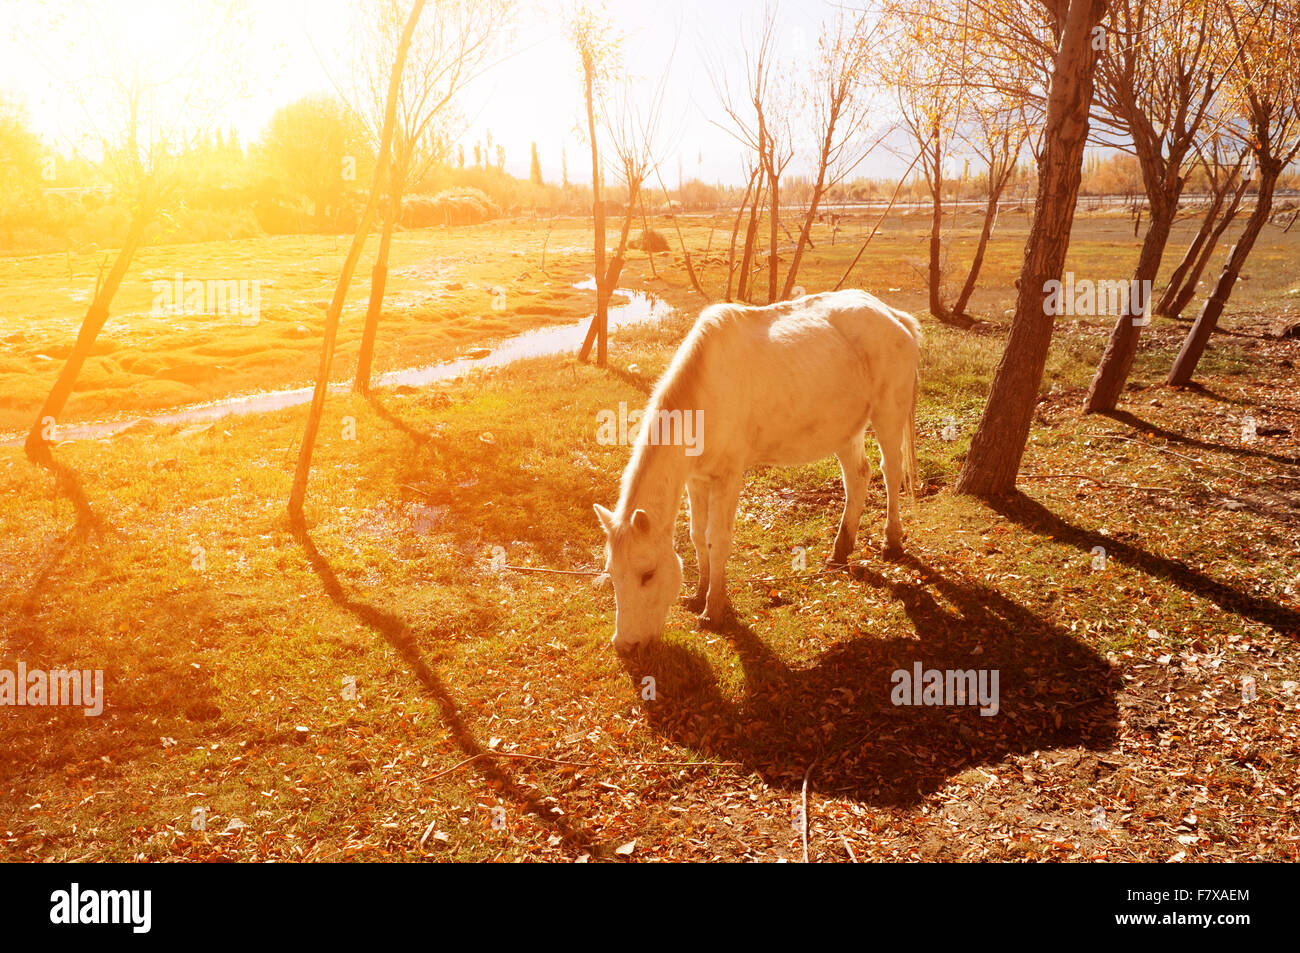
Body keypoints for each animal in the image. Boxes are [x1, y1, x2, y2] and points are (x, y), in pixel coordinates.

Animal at [594, 288, 923, 654]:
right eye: (612, 574)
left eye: (647, 574)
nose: (626, 645)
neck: (705, 394)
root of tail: (893, 314)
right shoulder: (696, 478)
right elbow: (697, 535)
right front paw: (699, 594)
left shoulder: (729, 476)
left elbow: (718, 539)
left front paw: (714, 610)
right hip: (844, 430)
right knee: (858, 477)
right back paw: (840, 551)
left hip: (888, 416)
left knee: (890, 472)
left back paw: (891, 541)